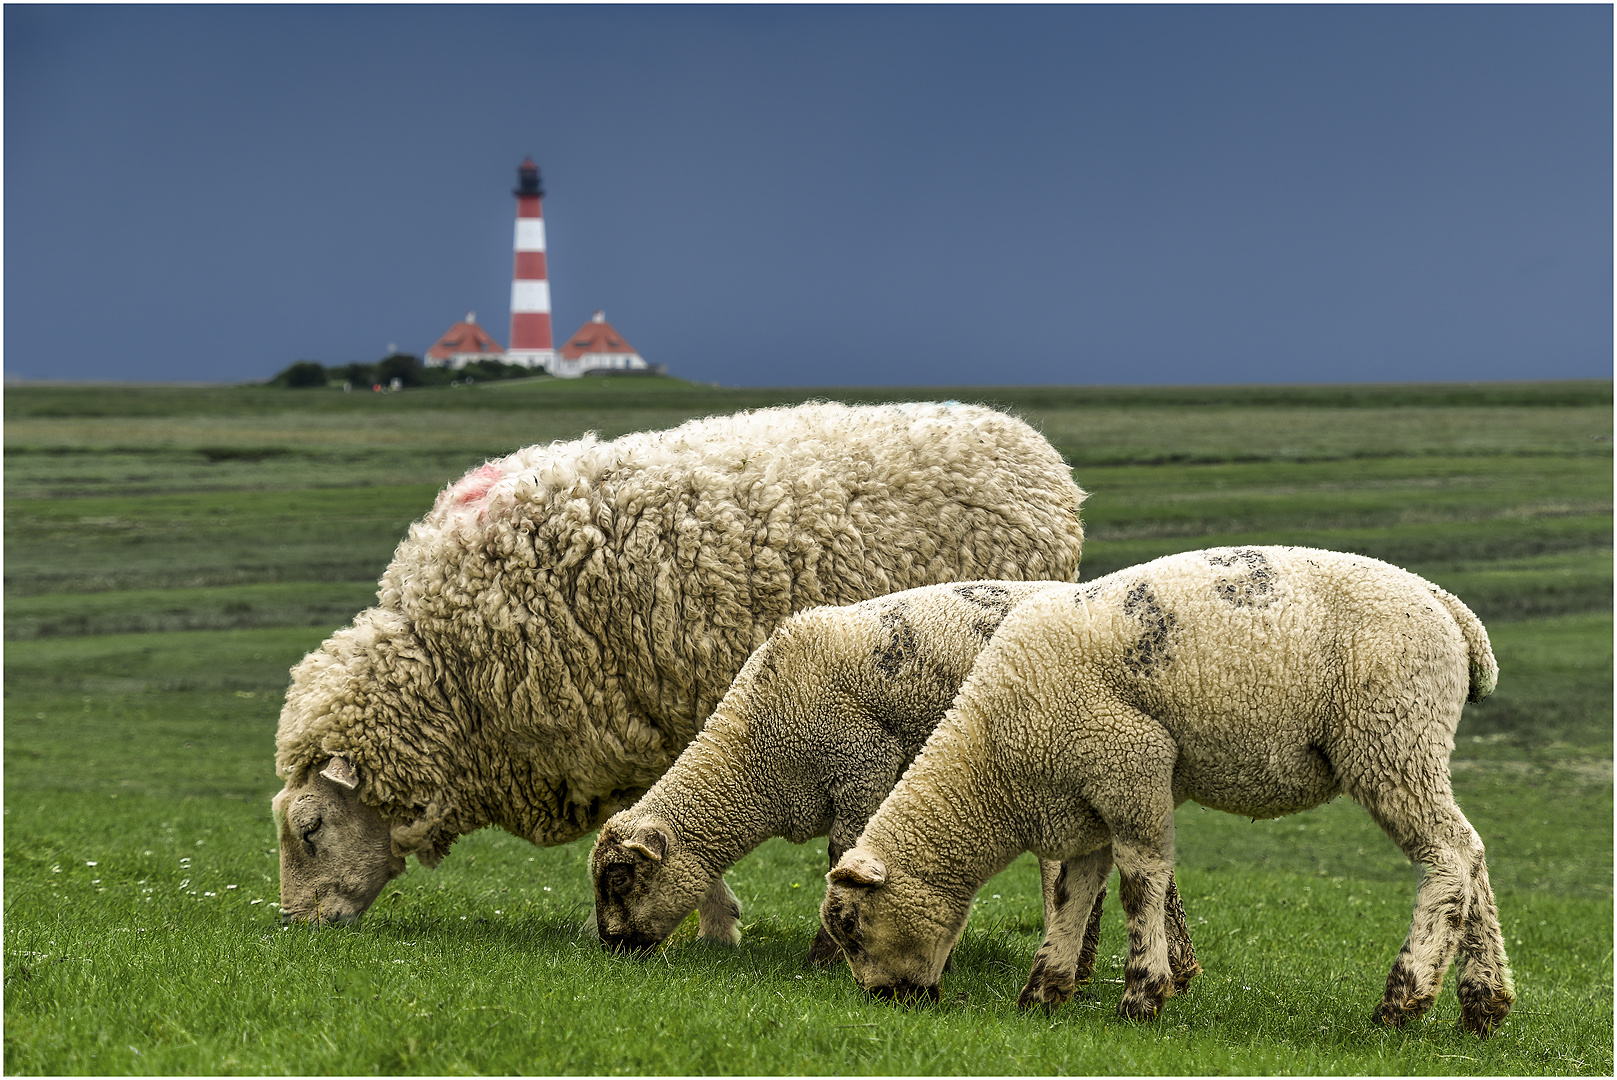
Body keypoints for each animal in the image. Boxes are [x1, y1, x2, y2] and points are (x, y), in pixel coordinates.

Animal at [595, 582, 1203, 989]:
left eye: (620, 878)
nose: (610, 947)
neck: (758, 754)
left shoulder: (861, 769)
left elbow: (842, 858)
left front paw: (825, 957)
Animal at [821, 549, 1513, 1034]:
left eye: (851, 926)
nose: (884, 1001)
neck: (995, 763)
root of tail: (1449, 606)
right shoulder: (1088, 801)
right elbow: (1074, 893)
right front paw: (1044, 992)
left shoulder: (1133, 764)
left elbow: (1140, 883)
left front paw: (1141, 996)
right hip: (1413, 743)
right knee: (1474, 854)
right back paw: (1483, 1004)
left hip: (1391, 735)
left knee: (1448, 856)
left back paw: (1405, 999)